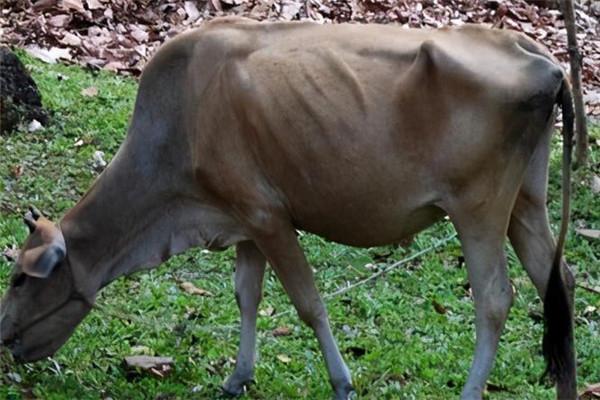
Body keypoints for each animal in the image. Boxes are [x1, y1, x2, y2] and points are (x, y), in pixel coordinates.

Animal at [2, 18, 580, 400]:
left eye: (20, 278)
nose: (4, 335)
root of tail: (540, 56)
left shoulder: (267, 217)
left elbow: (309, 304)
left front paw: (342, 382)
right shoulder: (243, 223)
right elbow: (247, 297)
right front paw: (238, 377)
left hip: (478, 207)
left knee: (495, 299)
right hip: (526, 202)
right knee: (558, 281)